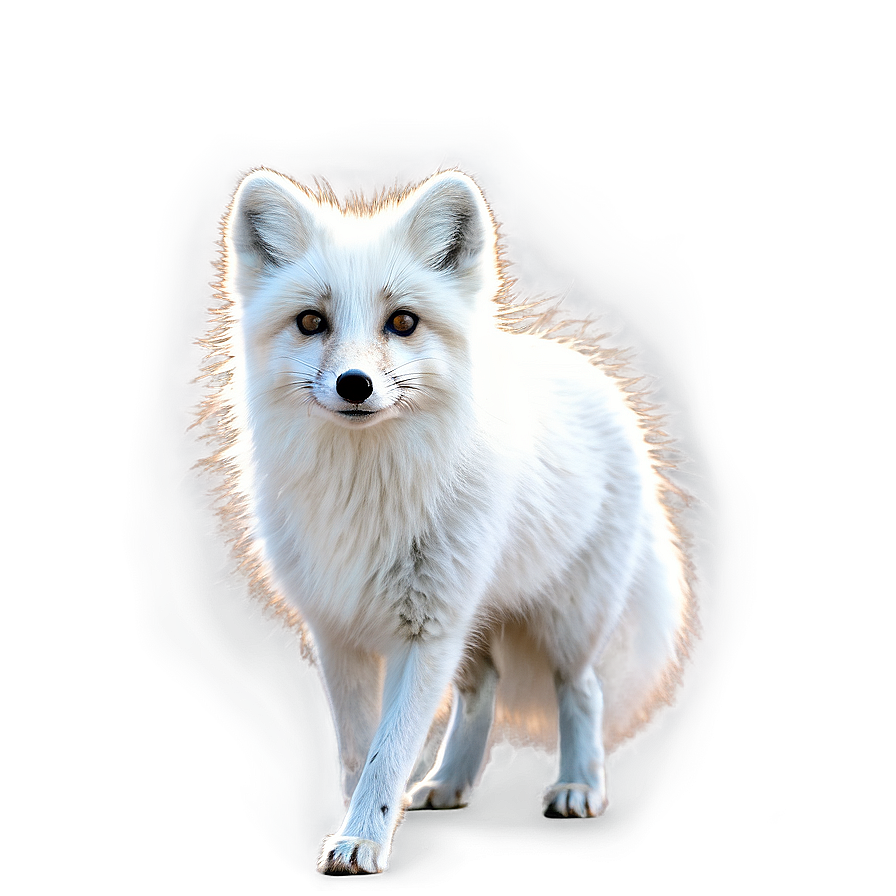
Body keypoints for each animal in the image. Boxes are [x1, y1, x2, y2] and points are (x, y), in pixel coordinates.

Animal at [196, 168, 704, 875]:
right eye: (311, 321)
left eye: (403, 322)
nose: (354, 385)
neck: (368, 490)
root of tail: (590, 371)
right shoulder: (337, 632)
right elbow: (357, 749)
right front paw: (353, 827)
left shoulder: (428, 630)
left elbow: (387, 754)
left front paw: (362, 839)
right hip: (472, 627)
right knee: (484, 691)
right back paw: (452, 782)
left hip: (567, 623)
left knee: (584, 692)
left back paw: (579, 786)